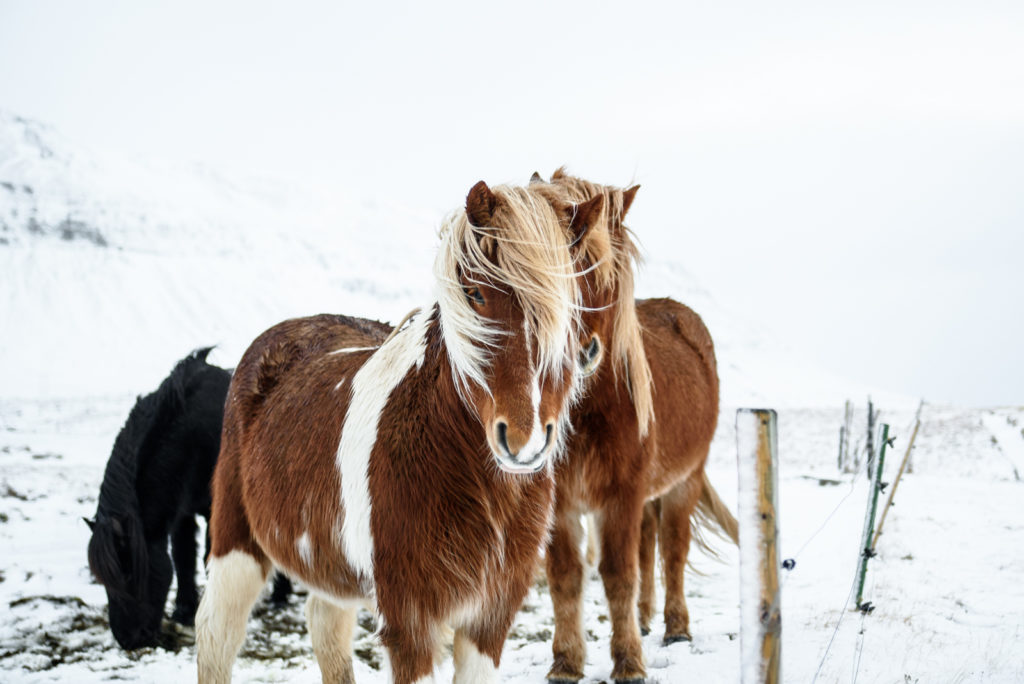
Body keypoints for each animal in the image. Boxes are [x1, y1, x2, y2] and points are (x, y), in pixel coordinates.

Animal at [86, 350, 290, 651]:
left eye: (130, 573)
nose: (128, 640)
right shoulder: (181, 512)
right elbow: (183, 558)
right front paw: (183, 610)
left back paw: (281, 597)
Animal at [194, 181, 602, 684]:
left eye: (570, 302)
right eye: (475, 293)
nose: (524, 440)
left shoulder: (490, 619)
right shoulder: (411, 624)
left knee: (325, 628)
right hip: (236, 547)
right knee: (218, 635)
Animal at [532, 167, 741, 679]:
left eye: (602, 266)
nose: (581, 352)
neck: (588, 412)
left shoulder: (621, 494)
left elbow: (618, 574)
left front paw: (628, 663)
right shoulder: (562, 501)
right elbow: (566, 577)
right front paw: (566, 663)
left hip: (685, 482)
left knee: (672, 551)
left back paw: (676, 627)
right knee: (649, 547)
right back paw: (647, 620)